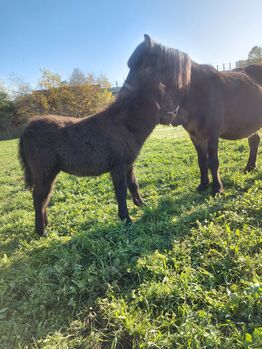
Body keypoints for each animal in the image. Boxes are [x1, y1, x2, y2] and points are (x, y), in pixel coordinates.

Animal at [122, 33, 262, 193]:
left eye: (143, 67)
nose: (123, 96)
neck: (196, 94)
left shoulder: (212, 134)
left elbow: (213, 162)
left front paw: (217, 188)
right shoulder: (195, 136)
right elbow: (202, 161)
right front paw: (203, 184)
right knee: (254, 141)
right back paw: (250, 167)